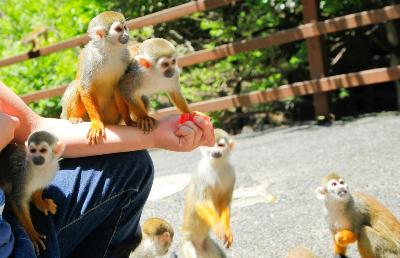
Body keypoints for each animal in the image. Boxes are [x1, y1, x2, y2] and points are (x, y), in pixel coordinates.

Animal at [61, 11, 132, 144]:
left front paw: (129, 120)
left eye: (125, 27)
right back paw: (75, 117)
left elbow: (118, 86)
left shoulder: (126, 56)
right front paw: (96, 122)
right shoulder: (91, 58)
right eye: (118, 29)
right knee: (76, 85)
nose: (126, 35)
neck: (109, 50)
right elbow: (85, 88)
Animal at [180, 129, 236, 258]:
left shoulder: (231, 173)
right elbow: (201, 202)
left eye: (220, 145)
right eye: (210, 145)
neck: (217, 165)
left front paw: (226, 229)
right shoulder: (202, 173)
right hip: (187, 245)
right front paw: (217, 225)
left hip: (207, 244)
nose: (215, 152)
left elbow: (225, 203)